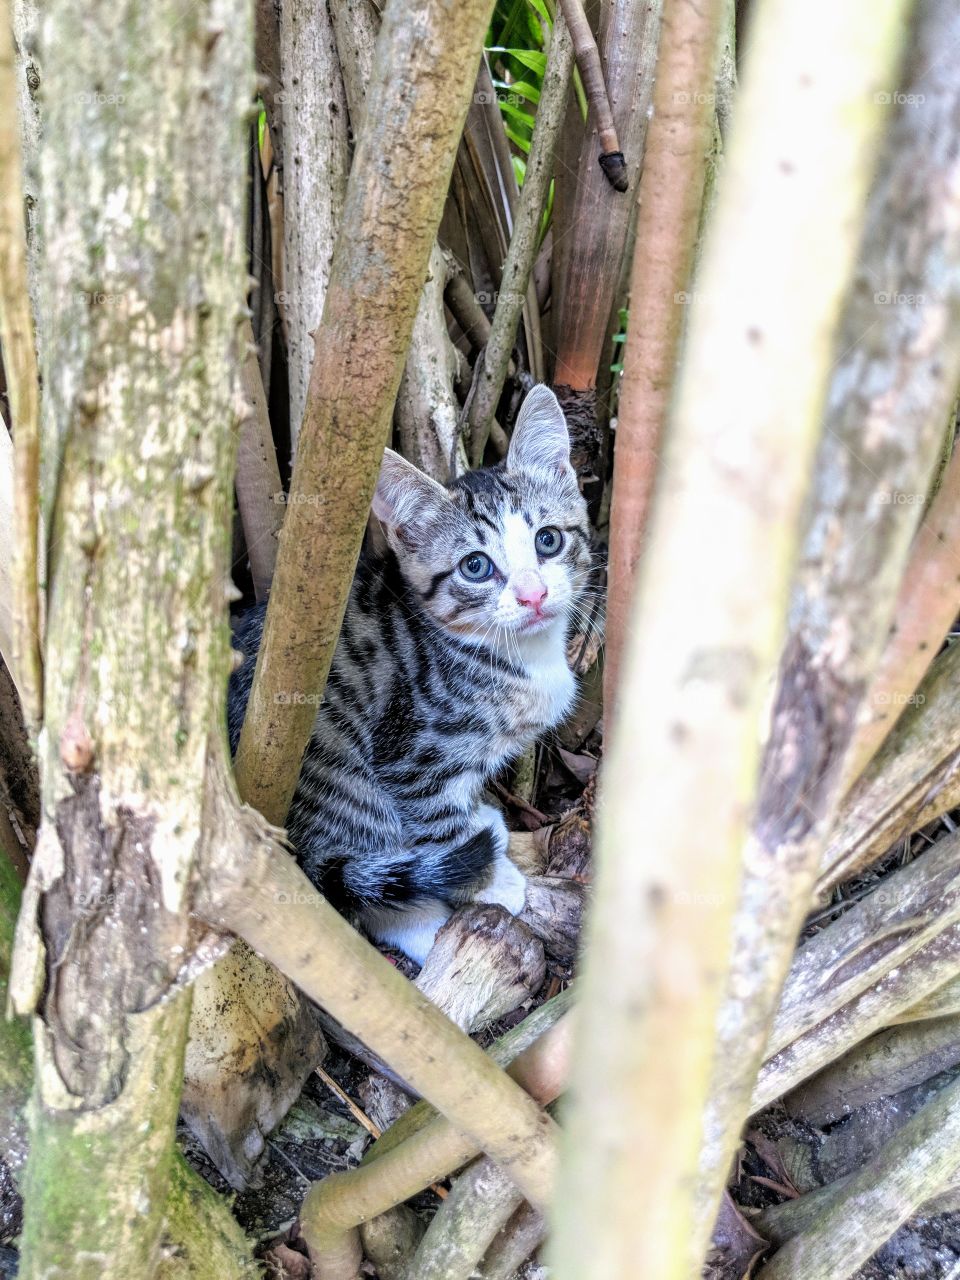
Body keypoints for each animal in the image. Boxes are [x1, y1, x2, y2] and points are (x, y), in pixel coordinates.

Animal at [231, 384, 593, 962]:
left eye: (549, 540)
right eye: (475, 566)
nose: (533, 595)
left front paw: (482, 821)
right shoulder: (410, 752)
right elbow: (435, 818)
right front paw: (491, 879)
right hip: (341, 773)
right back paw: (424, 928)